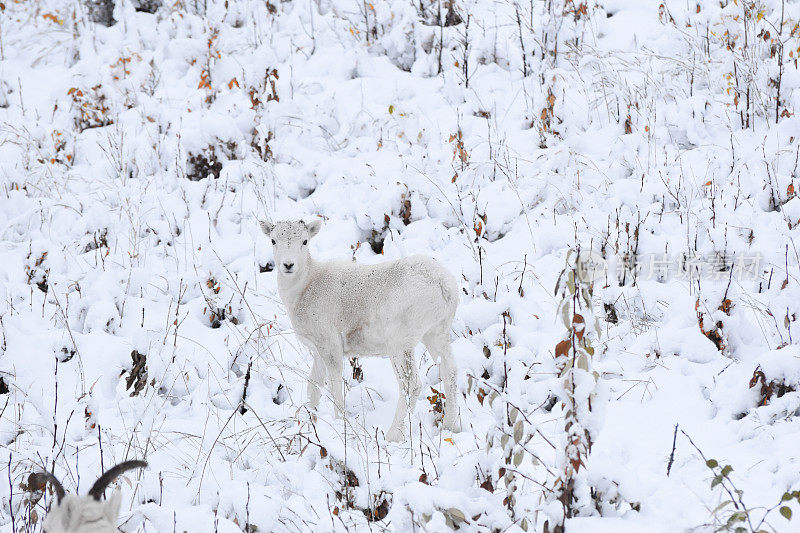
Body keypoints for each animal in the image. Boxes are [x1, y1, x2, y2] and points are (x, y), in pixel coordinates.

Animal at [260, 217, 460, 440]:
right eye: (273, 241)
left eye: (305, 241)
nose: (288, 265)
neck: (304, 288)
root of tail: (445, 286)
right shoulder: (317, 350)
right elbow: (313, 386)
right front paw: (307, 419)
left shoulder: (331, 345)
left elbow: (334, 385)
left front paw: (340, 423)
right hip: (436, 332)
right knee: (450, 373)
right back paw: (451, 427)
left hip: (400, 341)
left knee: (411, 385)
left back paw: (392, 435)